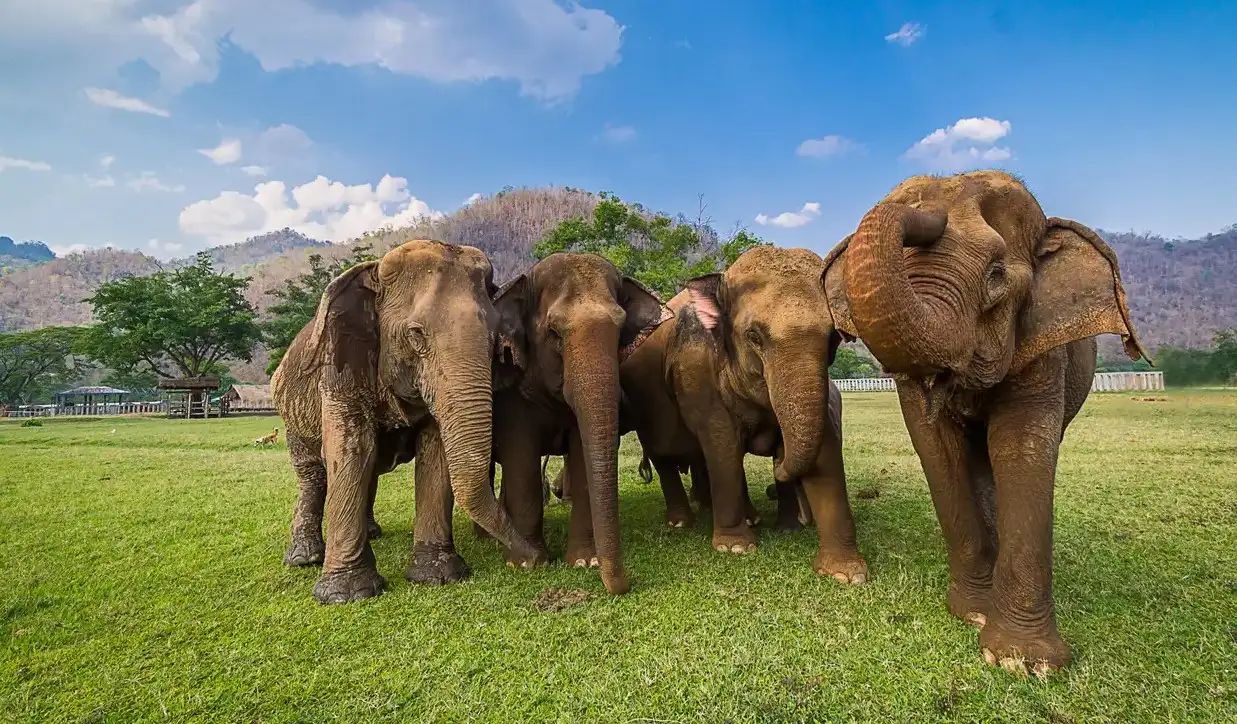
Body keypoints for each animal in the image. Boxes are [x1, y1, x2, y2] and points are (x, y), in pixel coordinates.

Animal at [273, 238, 534, 603]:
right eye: (416, 334)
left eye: (495, 336)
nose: (534, 559)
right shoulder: (341, 370)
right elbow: (351, 451)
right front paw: (348, 595)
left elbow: (435, 452)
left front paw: (437, 577)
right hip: (292, 415)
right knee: (313, 475)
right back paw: (304, 558)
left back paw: (371, 533)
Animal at [477, 252, 672, 594]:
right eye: (554, 332)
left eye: (620, 329)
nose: (623, 585)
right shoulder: (513, 393)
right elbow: (521, 458)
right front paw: (526, 564)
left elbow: (582, 455)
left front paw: (585, 562)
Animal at [613, 245, 865, 584]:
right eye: (754, 336)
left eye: (832, 338)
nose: (779, 464)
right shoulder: (697, 372)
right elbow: (721, 442)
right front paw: (735, 548)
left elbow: (825, 447)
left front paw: (846, 573)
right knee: (666, 455)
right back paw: (684, 522)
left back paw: (767, 521)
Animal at [821, 169, 1147, 673]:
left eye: (996, 275)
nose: (928, 200)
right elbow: (937, 446)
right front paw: (973, 613)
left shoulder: (1041, 348)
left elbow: (1021, 446)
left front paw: (1023, 661)